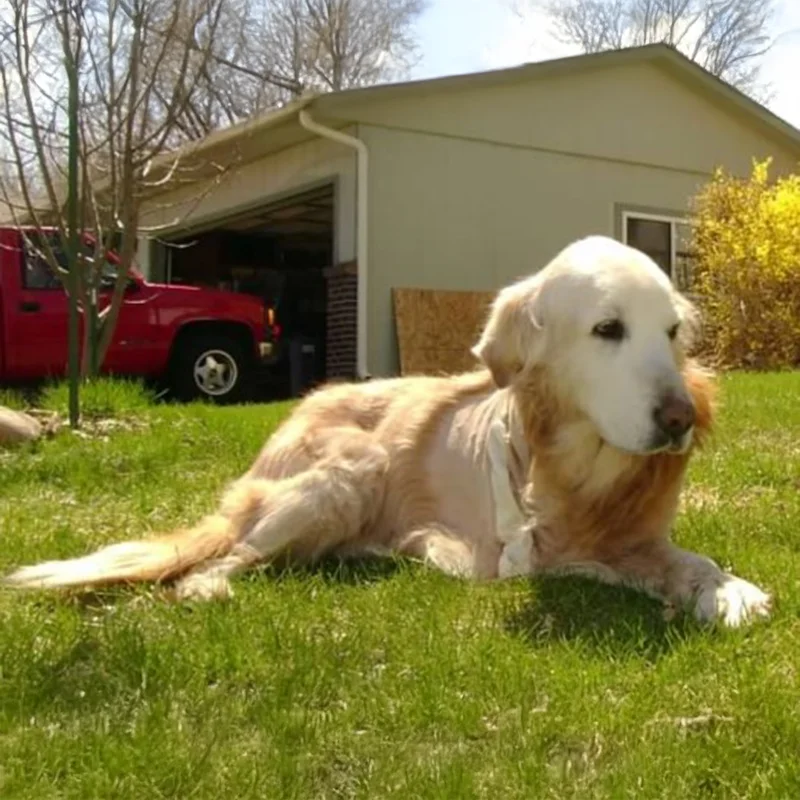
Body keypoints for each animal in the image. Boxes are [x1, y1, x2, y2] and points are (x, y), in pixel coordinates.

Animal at [3, 234, 772, 628]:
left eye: (671, 332)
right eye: (608, 329)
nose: (682, 419)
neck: (581, 460)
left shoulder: (639, 530)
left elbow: (685, 557)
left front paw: (723, 586)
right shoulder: (524, 555)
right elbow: (607, 567)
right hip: (348, 471)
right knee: (226, 558)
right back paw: (208, 589)